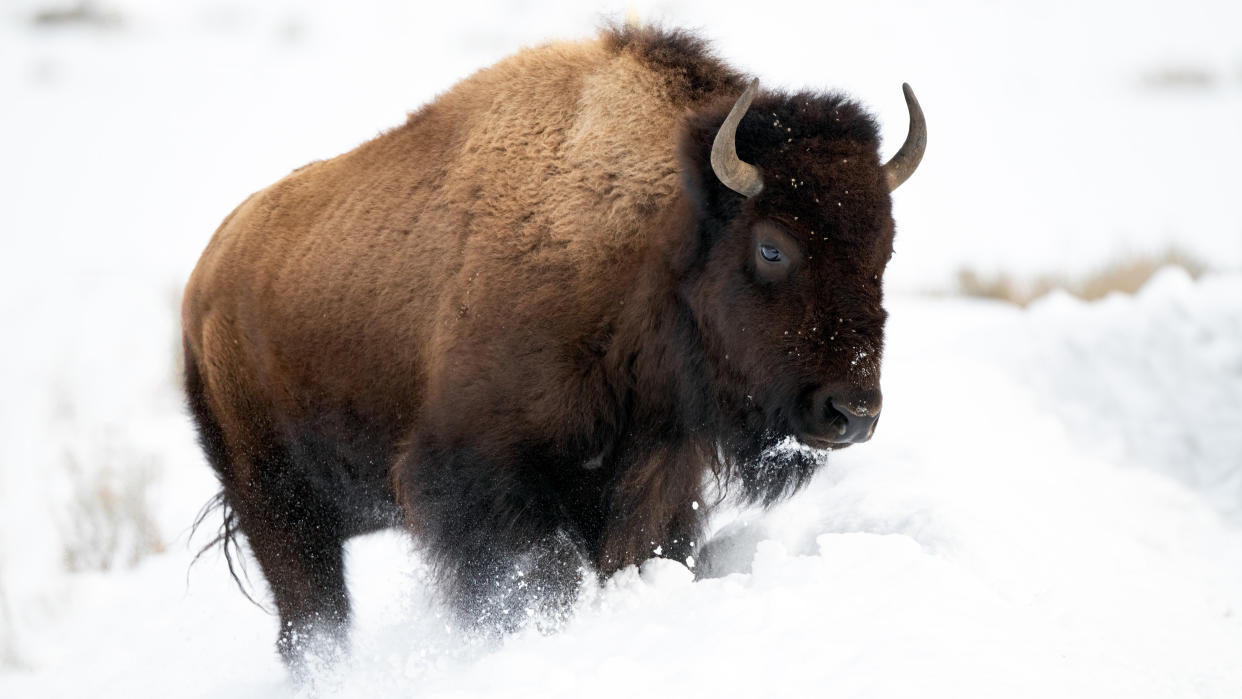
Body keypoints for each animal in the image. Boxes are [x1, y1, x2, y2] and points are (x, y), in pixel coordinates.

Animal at [183, 24, 924, 665]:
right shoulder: (481, 481)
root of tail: (205, 283)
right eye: (771, 247)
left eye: (885, 250)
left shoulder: (654, 477)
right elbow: (532, 581)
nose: (851, 411)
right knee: (312, 621)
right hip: (279, 507)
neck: (644, 242)